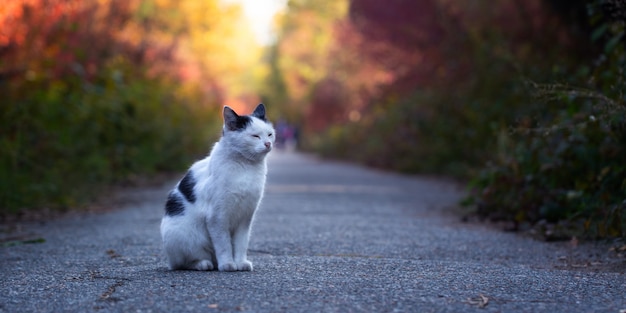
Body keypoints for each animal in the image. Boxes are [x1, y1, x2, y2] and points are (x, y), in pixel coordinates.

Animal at [160, 103, 272, 270]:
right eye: (255, 136)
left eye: (270, 134)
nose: (268, 143)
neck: (246, 167)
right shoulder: (217, 218)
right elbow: (224, 245)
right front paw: (227, 264)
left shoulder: (245, 217)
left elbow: (241, 244)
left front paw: (240, 263)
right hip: (183, 236)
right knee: (185, 262)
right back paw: (203, 264)